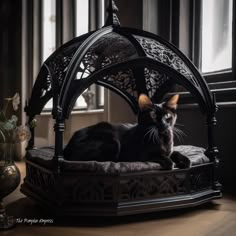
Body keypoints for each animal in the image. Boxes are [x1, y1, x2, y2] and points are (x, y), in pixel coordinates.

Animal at [63, 94, 191, 170]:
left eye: (167, 116)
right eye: (153, 115)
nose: (163, 124)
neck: (162, 138)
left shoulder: (170, 150)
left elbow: (175, 152)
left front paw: (185, 160)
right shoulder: (140, 154)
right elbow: (157, 155)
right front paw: (169, 162)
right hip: (113, 143)